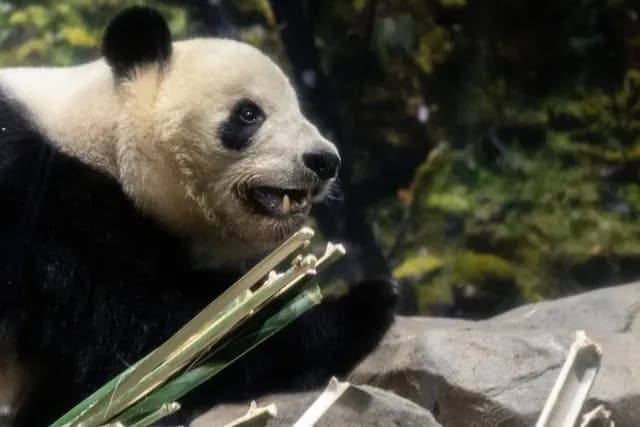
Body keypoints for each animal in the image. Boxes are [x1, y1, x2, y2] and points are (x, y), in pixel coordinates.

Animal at [0, 6, 397, 426]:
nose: (324, 161)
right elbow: (152, 337)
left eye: (300, 109)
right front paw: (358, 307)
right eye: (249, 114)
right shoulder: (42, 202)